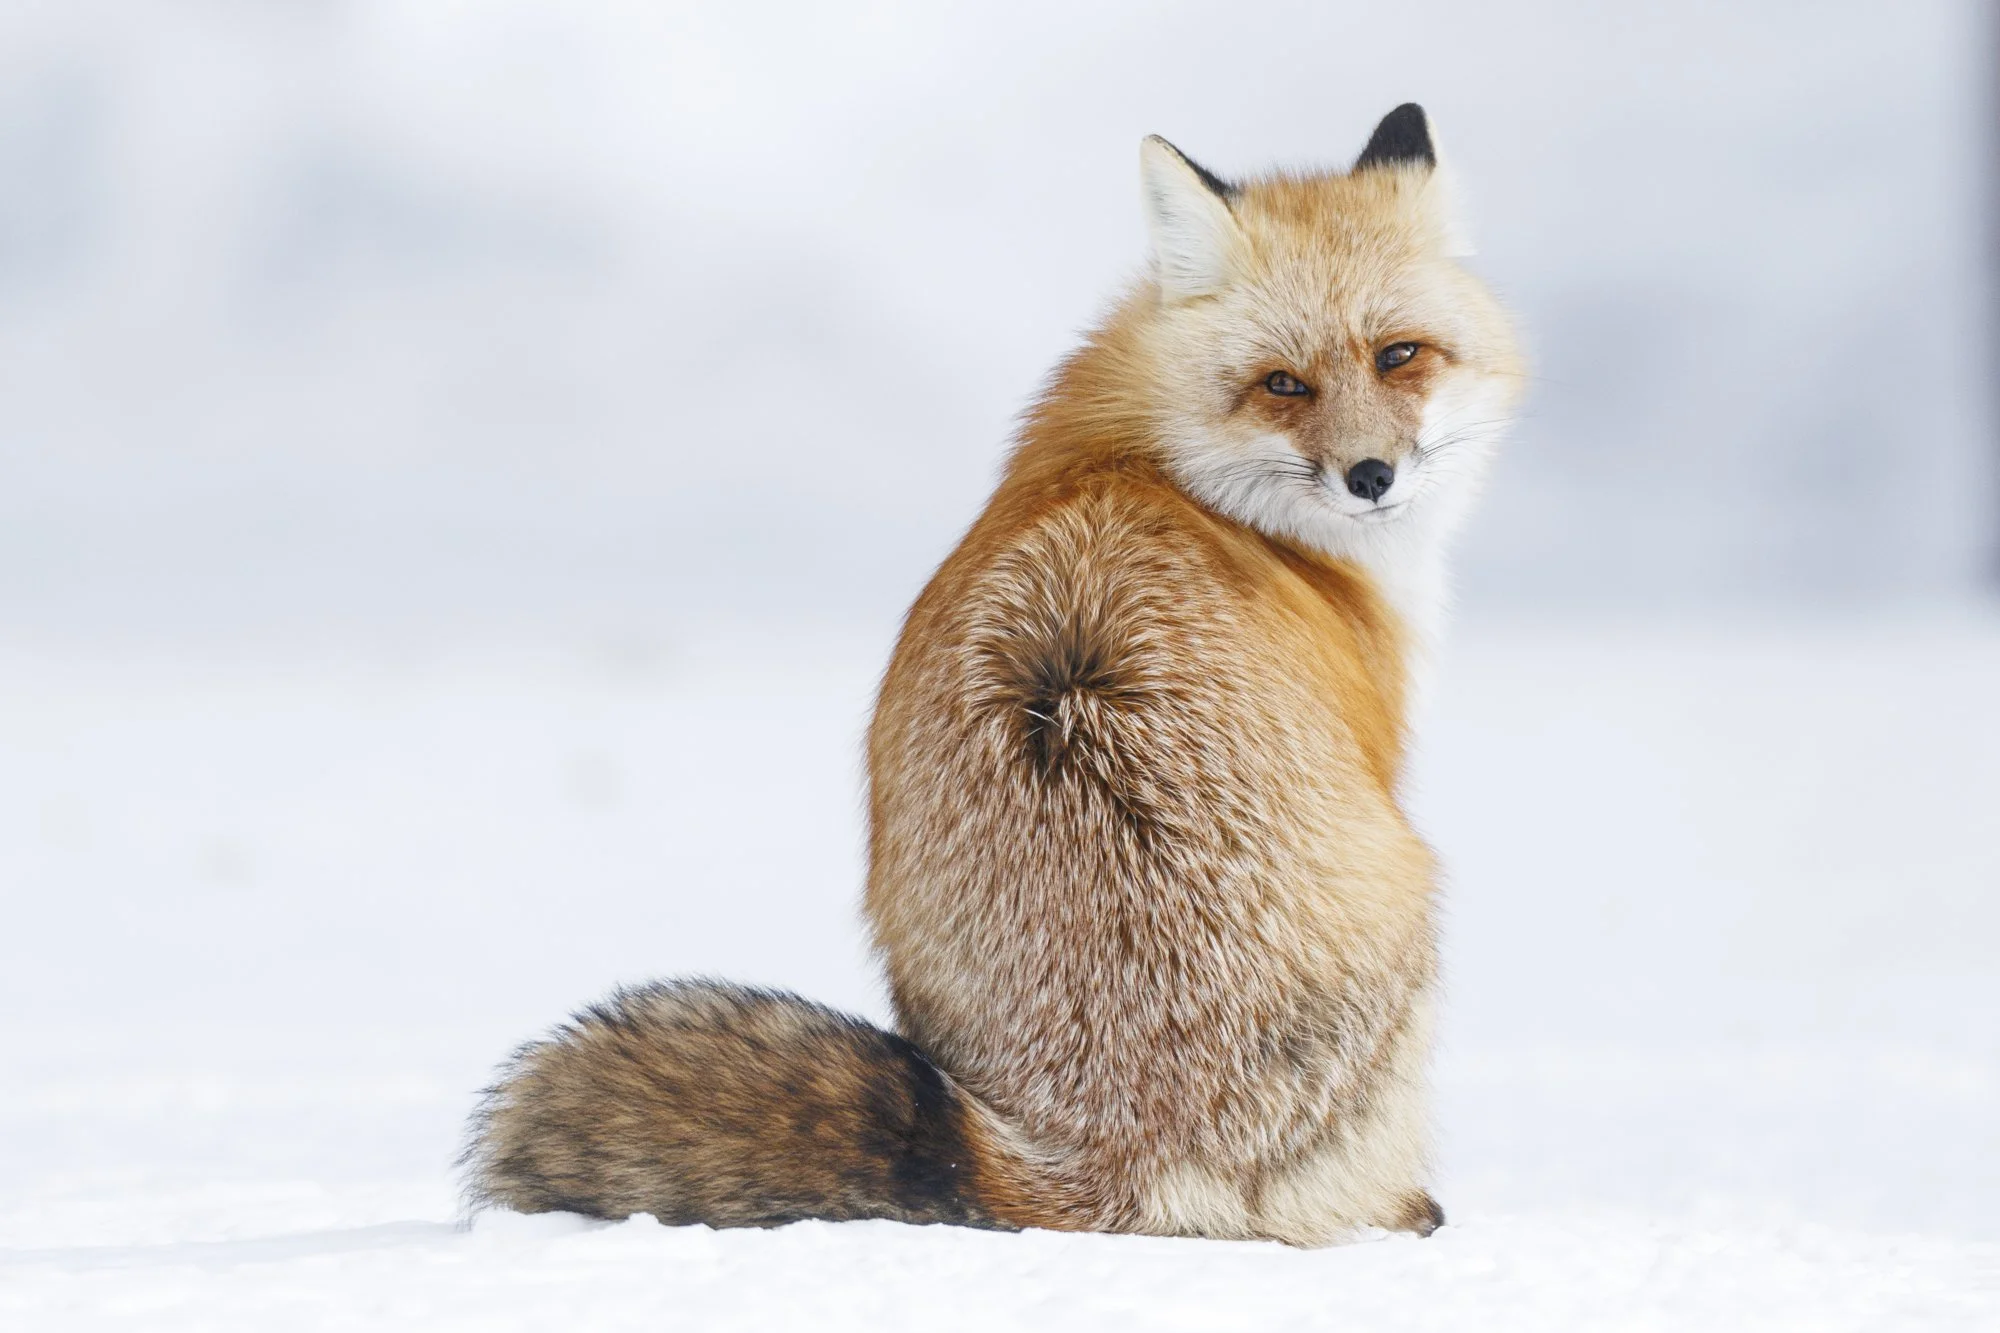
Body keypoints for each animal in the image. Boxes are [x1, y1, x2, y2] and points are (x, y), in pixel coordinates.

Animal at [463, 103, 1524, 1247]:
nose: (1370, 475)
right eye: (1284, 382)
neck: (1165, 457)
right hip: (1411, 899)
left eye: (1399, 354)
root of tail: (1096, 1162)